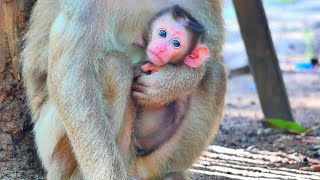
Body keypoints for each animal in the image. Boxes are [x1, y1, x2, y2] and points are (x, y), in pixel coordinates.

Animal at [20, 0, 225, 180]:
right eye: (162, 33)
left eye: (176, 43)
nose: (160, 48)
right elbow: (72, 78)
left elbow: (211, 47)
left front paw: (169, 83)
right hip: (47, 140)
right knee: (115, 65)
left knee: (215, 73)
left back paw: (170, 175)